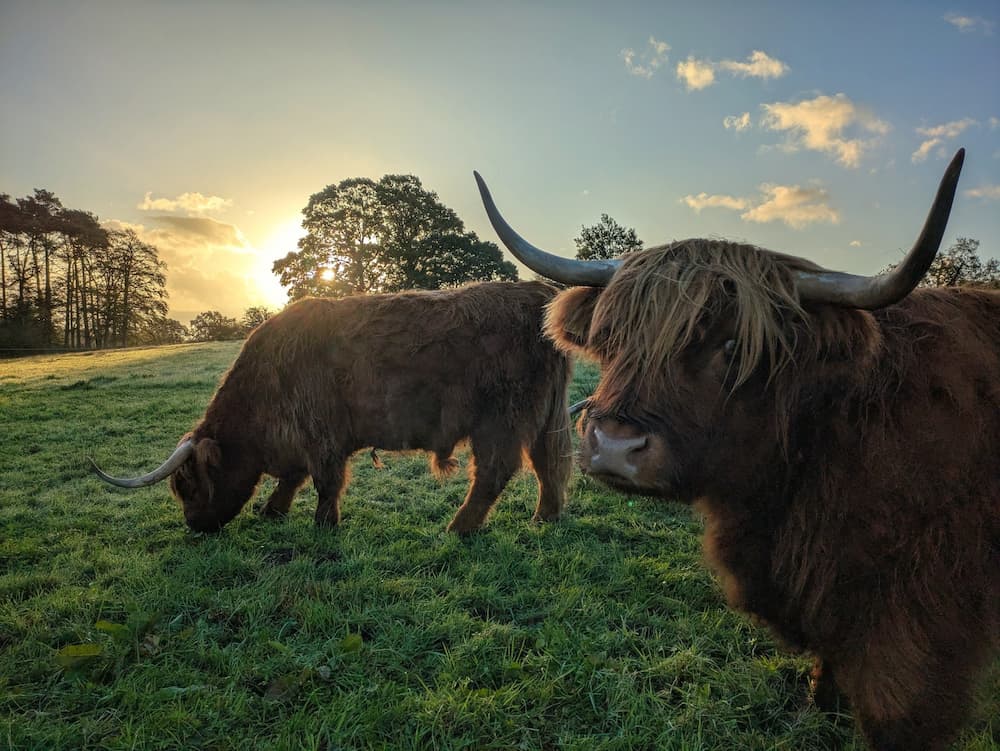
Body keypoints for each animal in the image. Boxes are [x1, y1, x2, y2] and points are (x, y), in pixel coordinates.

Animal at [90, 281, 573, 535]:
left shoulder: (320, 432)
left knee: (495, 471)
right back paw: (545, 517)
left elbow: (325, 480)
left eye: (188, 484)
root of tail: (537, 293)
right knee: (548, 464)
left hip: (501, 417)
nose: (193, 524)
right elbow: (294, 477)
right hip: (544, 415)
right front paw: (273, 509)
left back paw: (460, 526)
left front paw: (323, 523)